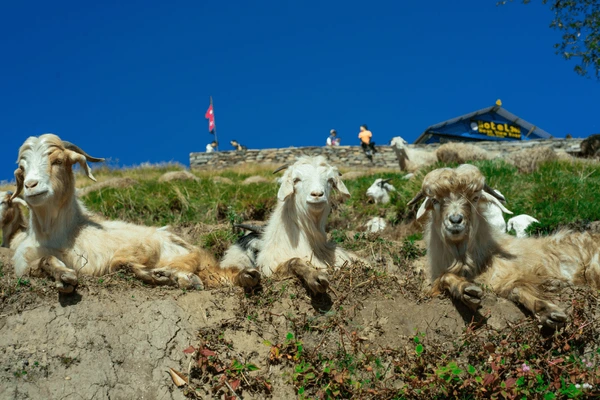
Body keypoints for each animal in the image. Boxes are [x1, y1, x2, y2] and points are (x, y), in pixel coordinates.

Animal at [9, 134, 258, 294]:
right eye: (22, 168)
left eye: (58, 161)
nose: (31, 185)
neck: (63, 233)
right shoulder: (25, 262)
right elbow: (43, 262)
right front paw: (63, 276)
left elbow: (117, 263)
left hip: (168, 249)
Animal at [221, 156, 358, 294]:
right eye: (296, 179)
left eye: (330, 180)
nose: (317, 195)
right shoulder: (271, 265)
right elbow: (293, 261)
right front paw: (316, 278)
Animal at [408, 164, 600, 330]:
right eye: (435, 200)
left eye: (475, 198)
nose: (455, 220)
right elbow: (445, 278)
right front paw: (467, 291)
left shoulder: (511, 274)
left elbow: (518, 287)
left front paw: (549, 310)